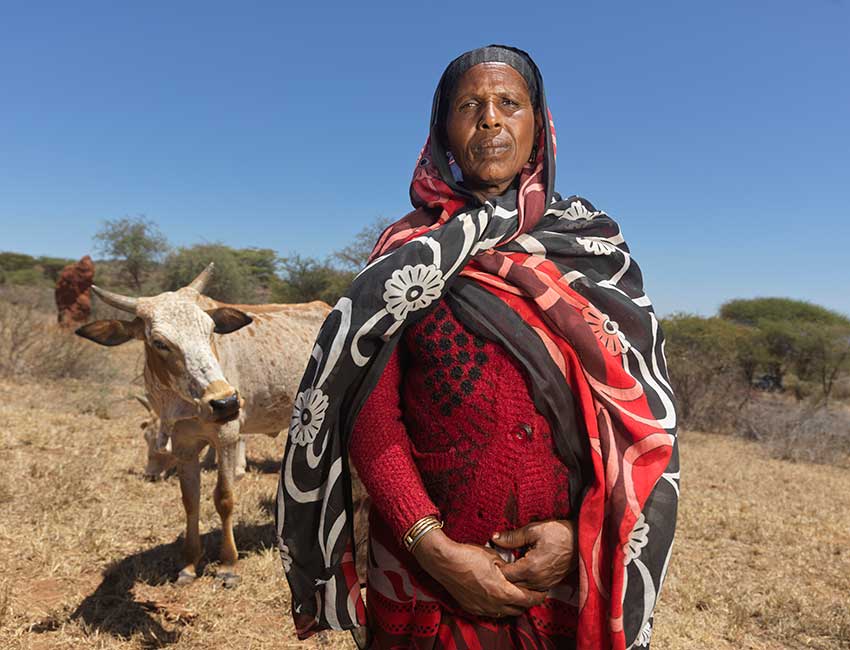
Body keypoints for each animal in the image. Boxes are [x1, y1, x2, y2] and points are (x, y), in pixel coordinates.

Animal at [76, 264, 328, 588]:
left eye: (210, 331)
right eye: (159, 343)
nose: (225, 402)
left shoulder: (228, 437)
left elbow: (224, 498)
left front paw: (228, 564)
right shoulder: (184, 447)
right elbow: (190, 501)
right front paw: (189, 564)